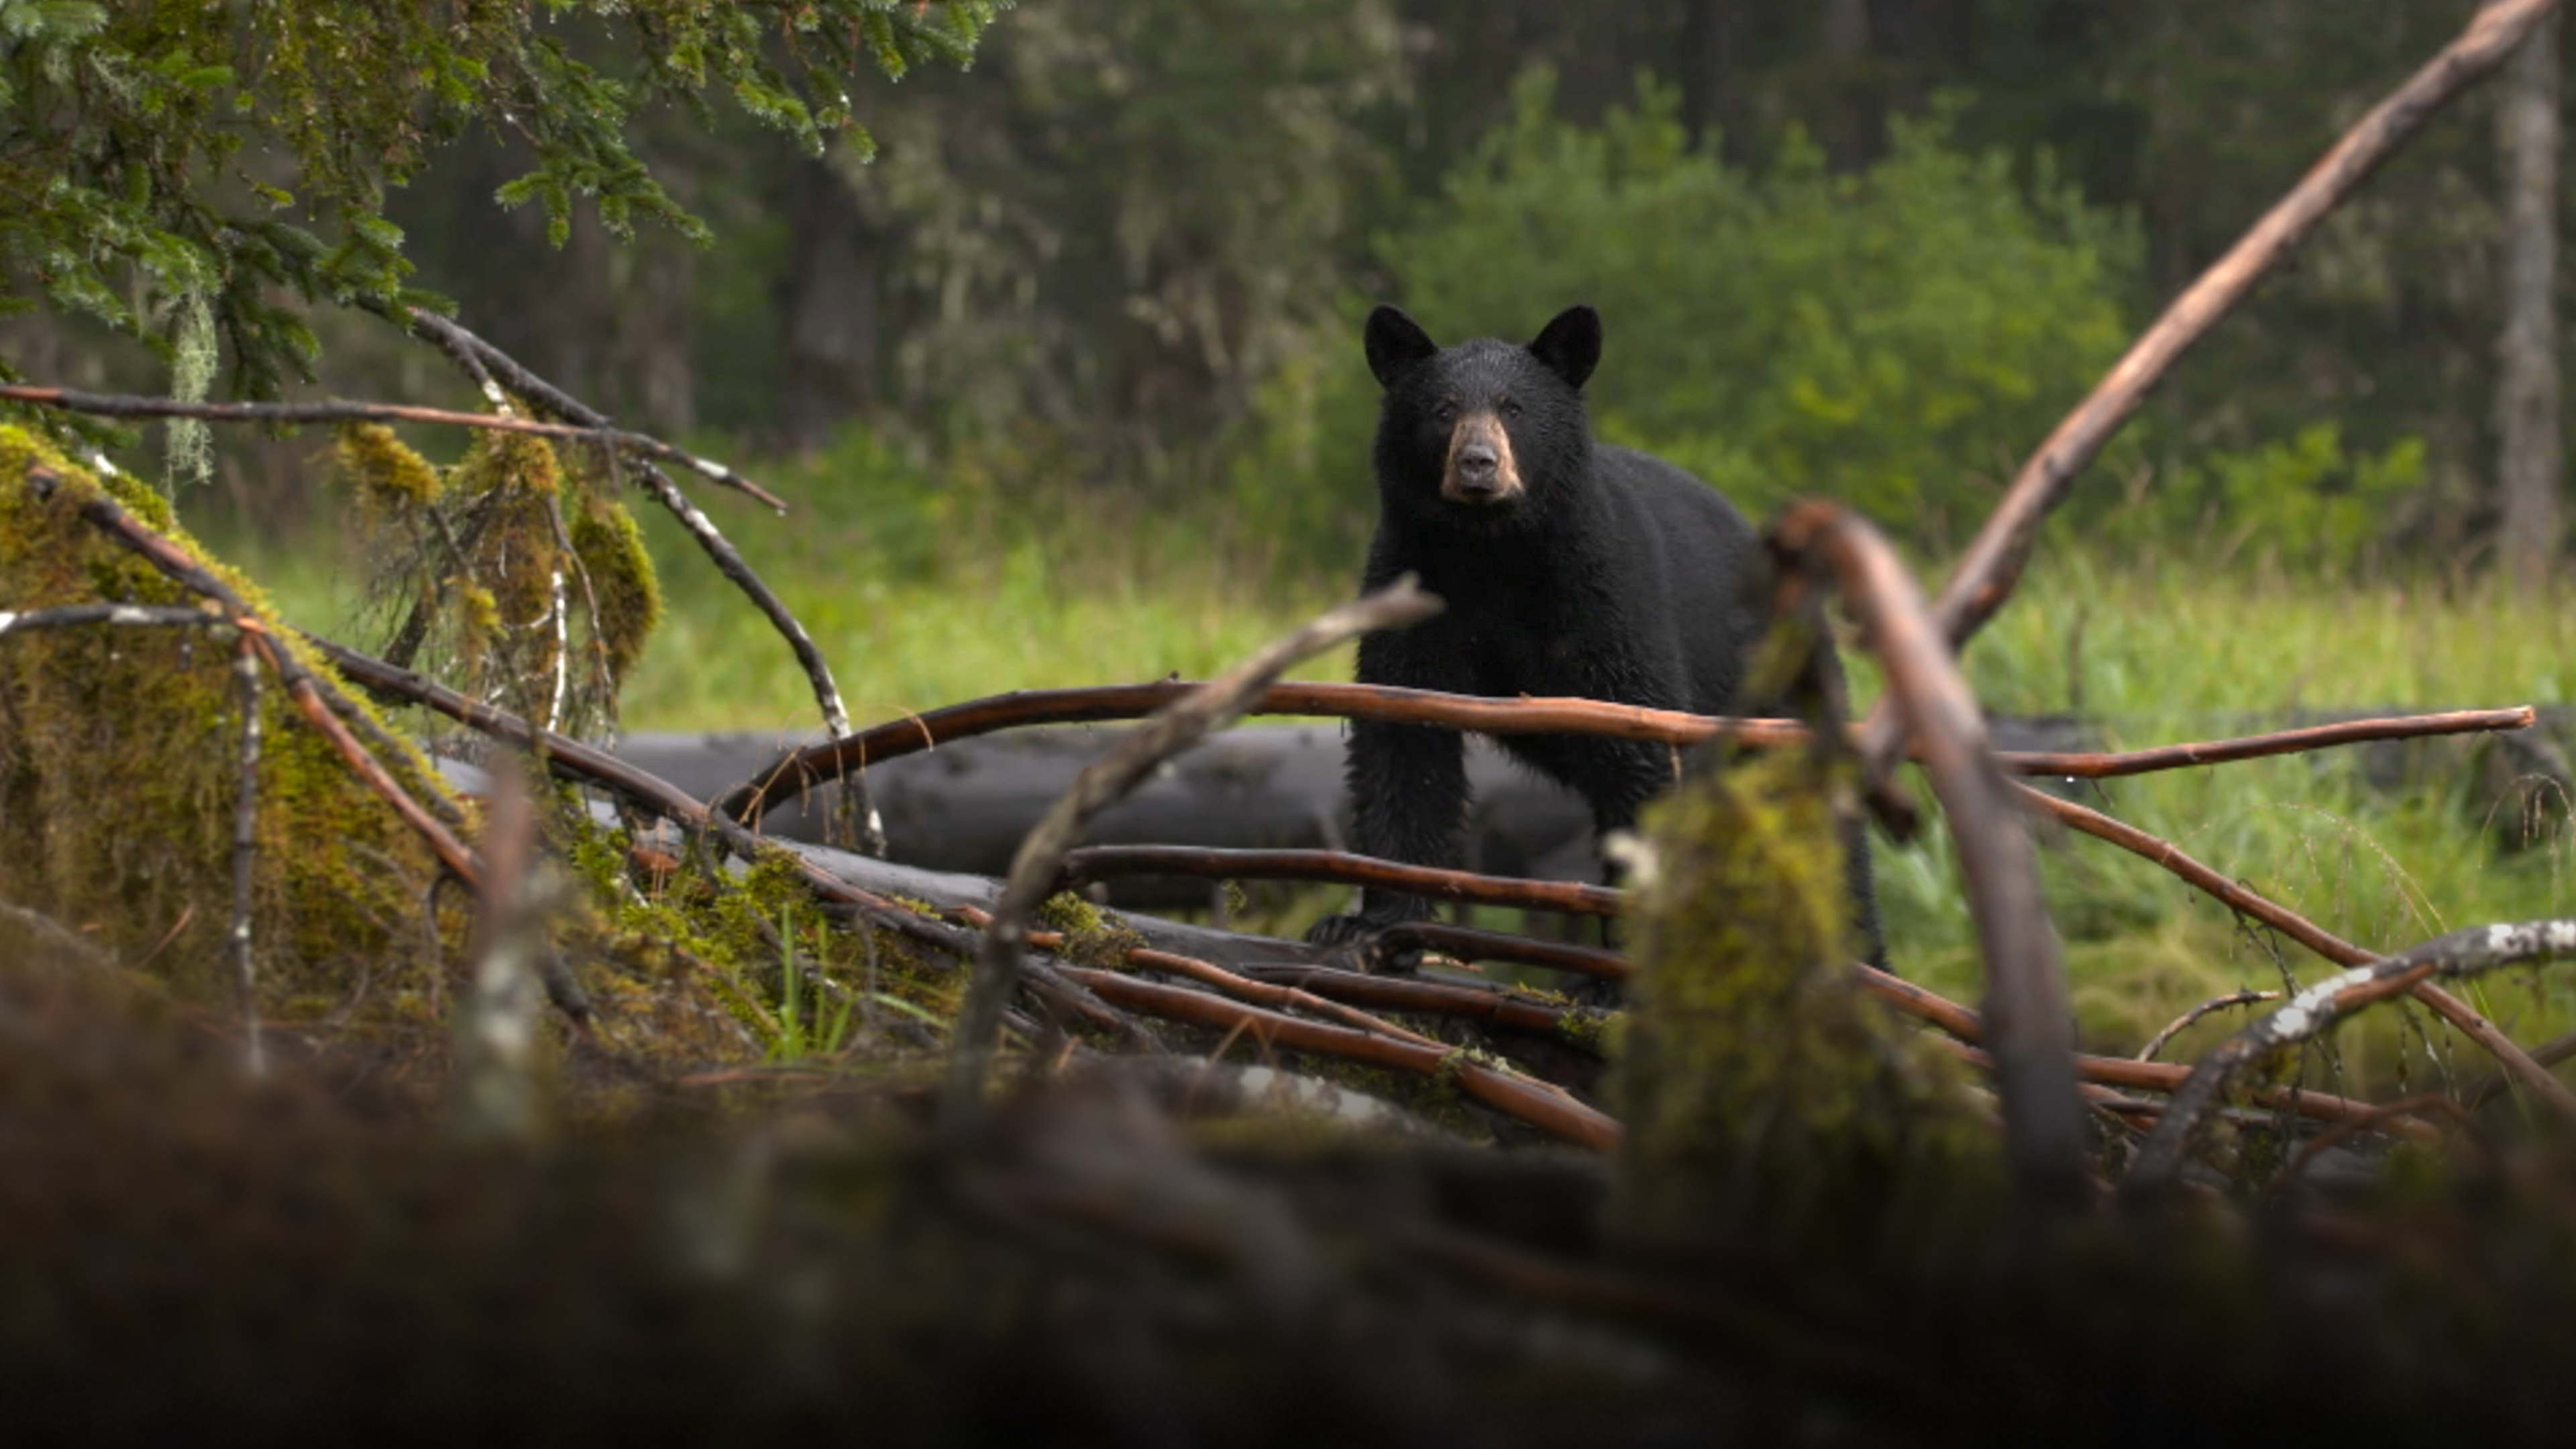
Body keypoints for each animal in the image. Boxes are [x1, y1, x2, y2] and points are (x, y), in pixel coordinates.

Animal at [1298, 297, 1885, 959]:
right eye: (1443, 409)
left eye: (1515, 408)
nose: (1478, 466)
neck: (1491, 551)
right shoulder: (1412, 581)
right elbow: (1404, 739)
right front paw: (1366, 922)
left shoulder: (1604, 595)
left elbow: (1638, 745)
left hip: (1773, 690)